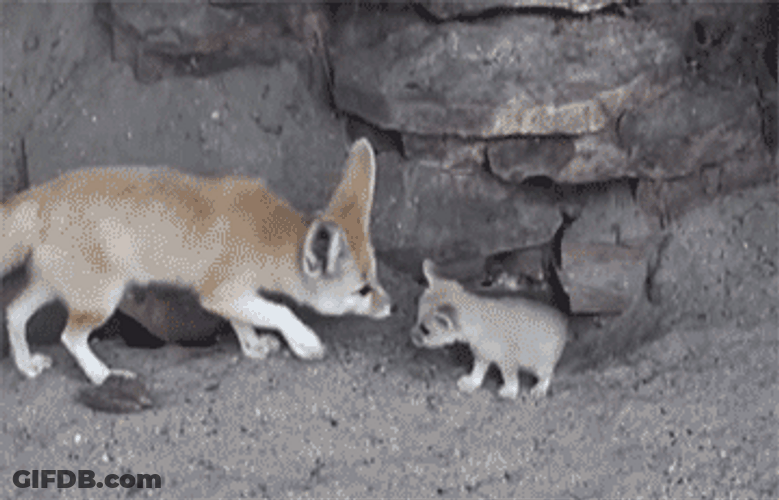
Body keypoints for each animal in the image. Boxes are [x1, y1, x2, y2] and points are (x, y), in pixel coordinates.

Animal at [2, 138, 392, 386]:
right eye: (362, 290)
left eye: (376, 279)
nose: (391, 306)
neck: (269, 235)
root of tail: (45, 192)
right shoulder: (218, 293)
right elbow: (279, 311)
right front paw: (305, 340)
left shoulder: (231, 295)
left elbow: (244, 320)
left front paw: (253, 346)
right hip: (100, 300)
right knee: (69, 337)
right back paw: (102, 376)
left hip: (53, 287)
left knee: (14, 312)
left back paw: (26, 365)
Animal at [411, 259, 567, 399]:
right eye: (416, 317)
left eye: (425, 330)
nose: (411, 336)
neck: (478, 323)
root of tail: (563, 319)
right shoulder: (482, 355)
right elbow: (478, 372)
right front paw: (471, 383)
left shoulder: (508, 360)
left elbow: (510, 378)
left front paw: (510, 391)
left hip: (540, 364)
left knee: (548, 375)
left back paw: (540, 388)